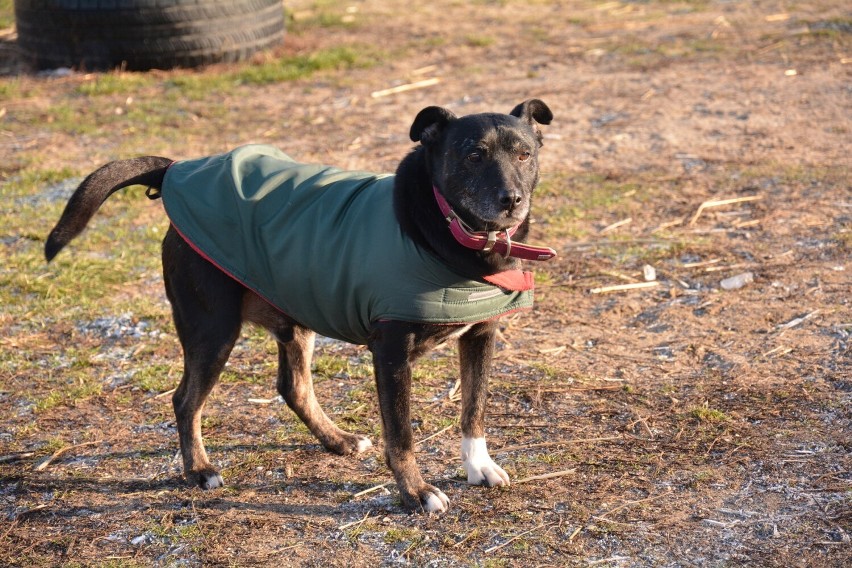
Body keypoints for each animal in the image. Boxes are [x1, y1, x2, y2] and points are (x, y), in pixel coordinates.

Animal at [46, 100, 556, 512]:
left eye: (524, 154)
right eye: (473, 155)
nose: (512, 199)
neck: (452, 233)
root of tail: (176, 170)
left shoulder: (481, 336)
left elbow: (474, 410)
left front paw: (478, 466)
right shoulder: (391, 353)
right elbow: (402, 435)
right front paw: (416, 493)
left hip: (294, 314)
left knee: (293, 387)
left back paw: (338, 440)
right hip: (212, 329)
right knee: (185, 400)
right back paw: (199, 470)